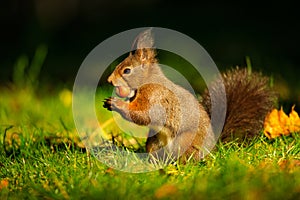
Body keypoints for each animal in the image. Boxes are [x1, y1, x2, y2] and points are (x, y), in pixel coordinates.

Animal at [103, 28, 276, 162]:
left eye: (127, 71)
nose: (109, 80)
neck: (147, 81)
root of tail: (213, 147)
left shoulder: (155, 96)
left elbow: (142, 114)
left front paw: (116, 104)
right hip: (154, 142)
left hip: (187, 142)